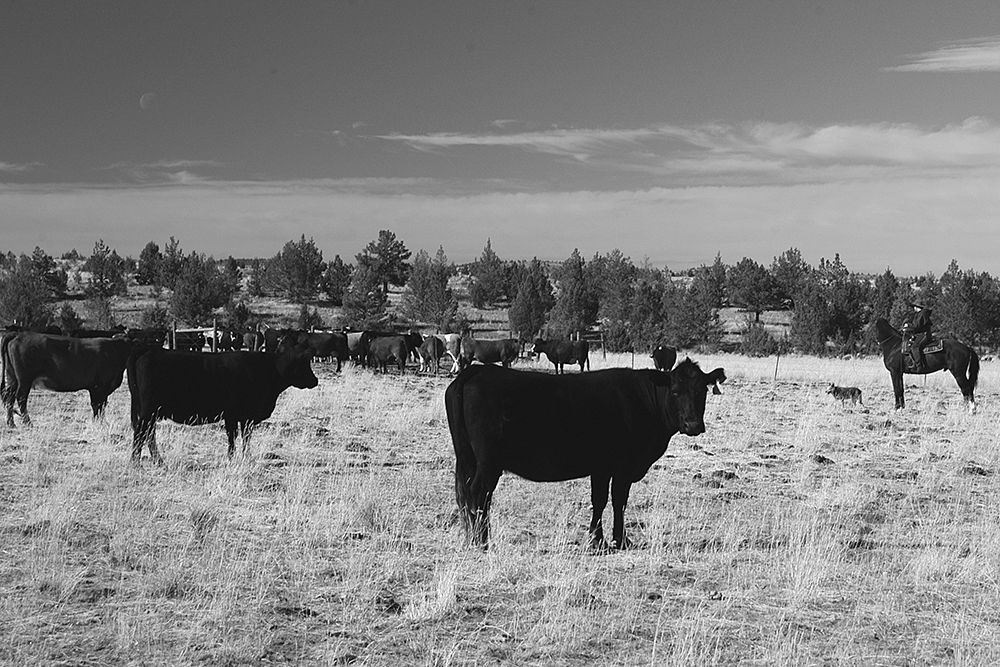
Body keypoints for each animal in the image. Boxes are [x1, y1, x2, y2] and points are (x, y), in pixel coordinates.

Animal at [2, 332, 134, 427]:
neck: (115, 351)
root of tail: (19, 335)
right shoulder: (98, 387)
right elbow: (97, 405)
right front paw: (99, 423)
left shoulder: (101, 389)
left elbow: (101, 406)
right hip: (24, 380)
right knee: (21, 398)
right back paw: (28, 423)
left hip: (12, 378)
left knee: (9, 397)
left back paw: (11, 423)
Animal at [127, 338, 319, 462]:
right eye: (303, 363)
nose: (315, 380)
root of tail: (149, 350)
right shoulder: (237, 415)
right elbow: (235, 437)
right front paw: (234, 458)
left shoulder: (241, 417)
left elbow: (243, 437)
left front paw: (242, 457)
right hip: (148, 411)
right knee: (141, 433)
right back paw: (135, 461)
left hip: (150, 412)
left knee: (148, 433)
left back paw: (157, 460)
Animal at [445, 359, 726, 550]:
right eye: (676, 391)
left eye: (702, 391)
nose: (693, 425)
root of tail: (478, 370)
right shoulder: (619, 466)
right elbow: (613, 500)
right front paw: (613, 540)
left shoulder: (603, 467)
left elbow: (604, 500)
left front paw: (603, 539)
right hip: (488, 463)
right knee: (478, 495)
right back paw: (482, 542)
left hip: (467, 458)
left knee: (466, 495)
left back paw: (471, 538)